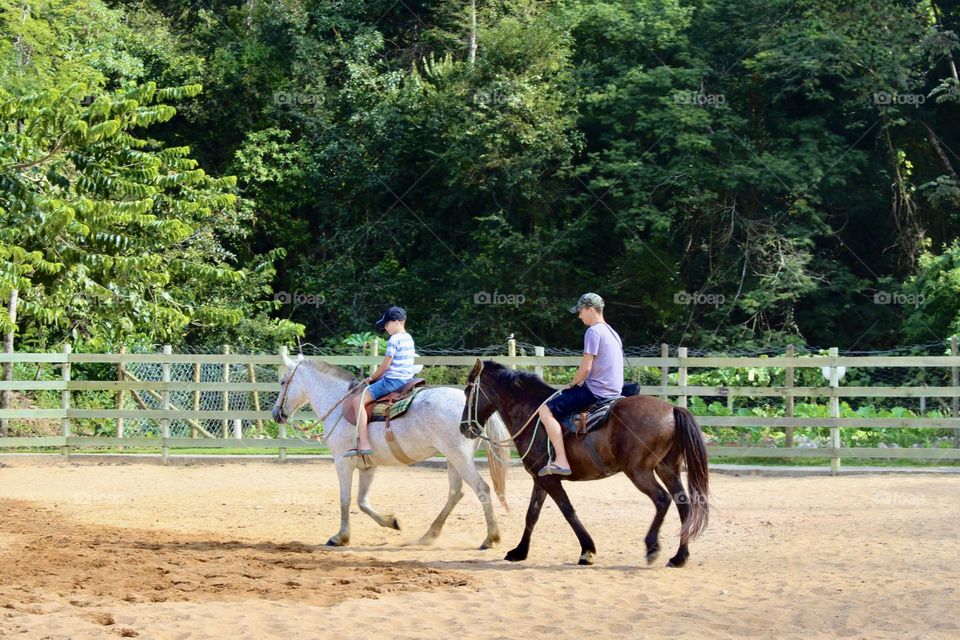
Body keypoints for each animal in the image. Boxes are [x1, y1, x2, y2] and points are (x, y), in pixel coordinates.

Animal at [271, 354, 510, 549]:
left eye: (283, 382)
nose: (276, 413)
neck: (338, 403)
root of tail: (471, 407)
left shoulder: (342, 462)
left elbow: (345, 500)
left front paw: (340, 537)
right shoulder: (368, 467)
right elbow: (362, 502)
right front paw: (392, 522)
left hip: (459, 458)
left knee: (481, 489)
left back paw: (490, 538)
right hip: (453, 459)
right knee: (455, 493)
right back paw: (429, 535)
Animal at [459, 359, 709, 566]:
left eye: (467, 391)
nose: (464, 428)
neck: (533, 415)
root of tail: (673, 409)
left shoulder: (550, 480)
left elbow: (567, 510)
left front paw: (587, 550)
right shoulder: (540, 478)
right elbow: (532, 514)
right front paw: (519, 551)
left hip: (639, 471)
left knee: (662, 499)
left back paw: (652, 547)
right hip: (667, 468)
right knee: (683, 504)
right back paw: (679, 557)